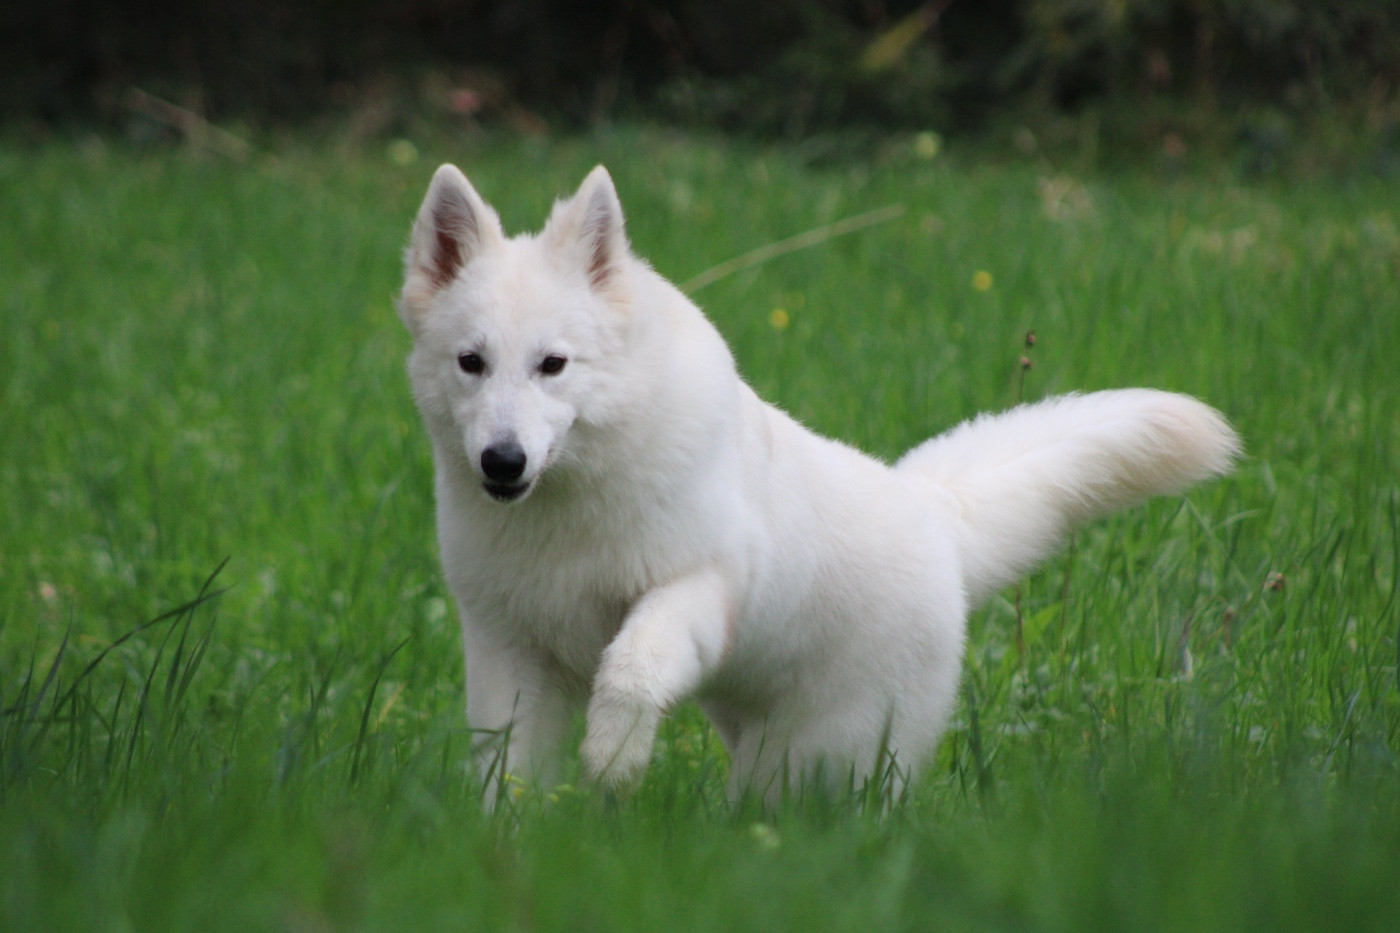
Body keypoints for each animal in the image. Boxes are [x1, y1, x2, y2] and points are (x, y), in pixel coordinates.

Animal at [397, 163, 1239, 802]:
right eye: (472, 362)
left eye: (553, 364)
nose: (502, 462)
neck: (571, 501)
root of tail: (935, 516)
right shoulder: (511, 652)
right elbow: (505, 772)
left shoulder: (697, 590)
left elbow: (631, 667)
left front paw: (613, 761)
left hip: (810, 759)